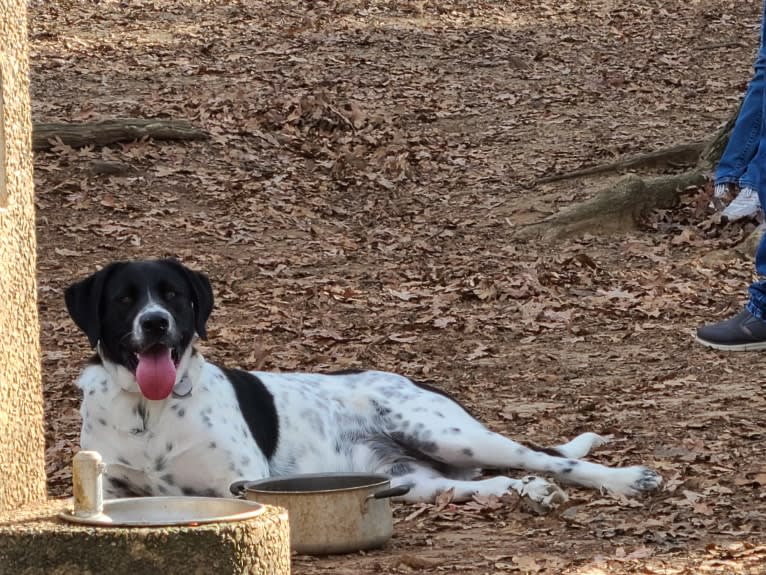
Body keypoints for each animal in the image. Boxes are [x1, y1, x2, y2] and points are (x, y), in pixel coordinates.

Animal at [64, 258, 664, 510]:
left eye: (174, 296)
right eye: (125, 299)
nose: (155, 323)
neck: (149, 410)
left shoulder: (242, 483)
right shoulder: (112, 488)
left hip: (447, 433)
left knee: (547, 458)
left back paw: (625, 480)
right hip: (405, 478)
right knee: (474, 484)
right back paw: (523, 493)